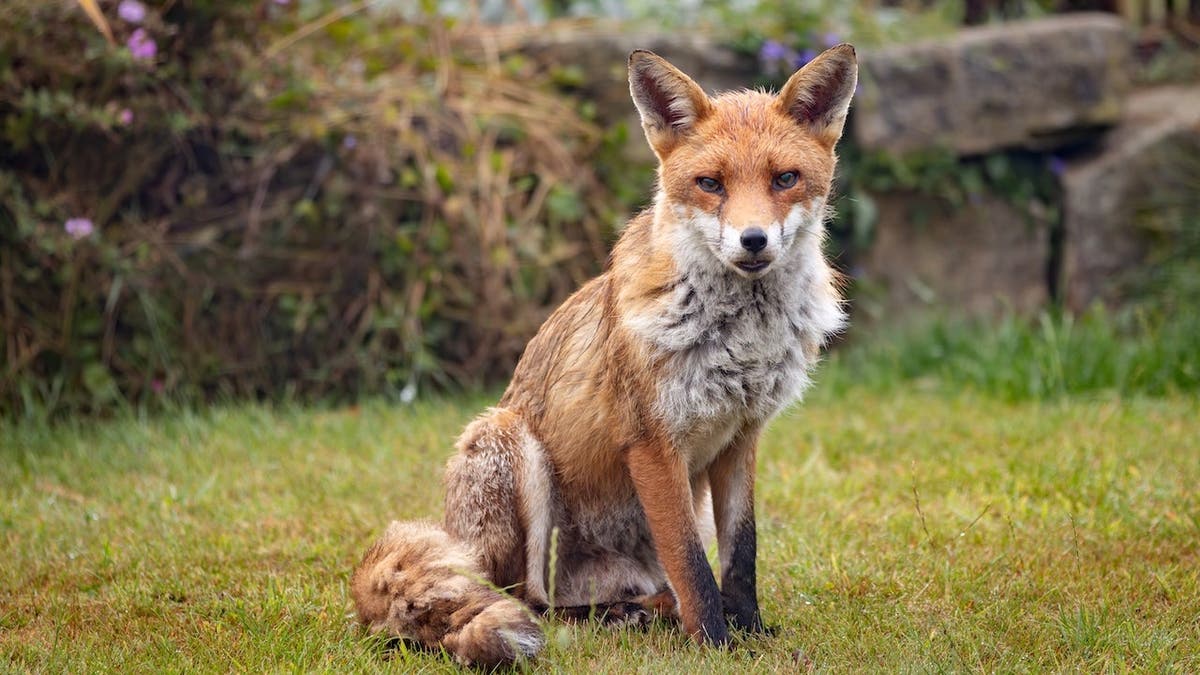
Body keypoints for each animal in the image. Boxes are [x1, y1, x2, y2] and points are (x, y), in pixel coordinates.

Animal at [351, 43, 857, 667]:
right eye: (710, 183)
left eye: (785, 179)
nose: (754, 240)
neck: (741, 338)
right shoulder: (652, 441)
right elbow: (693, 564)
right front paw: (716, 645)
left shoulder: (741, 437)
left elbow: (741, 556)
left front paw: (751, 633)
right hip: (512, 449)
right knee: (533, 600)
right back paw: (617, 617)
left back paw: (647, 610)